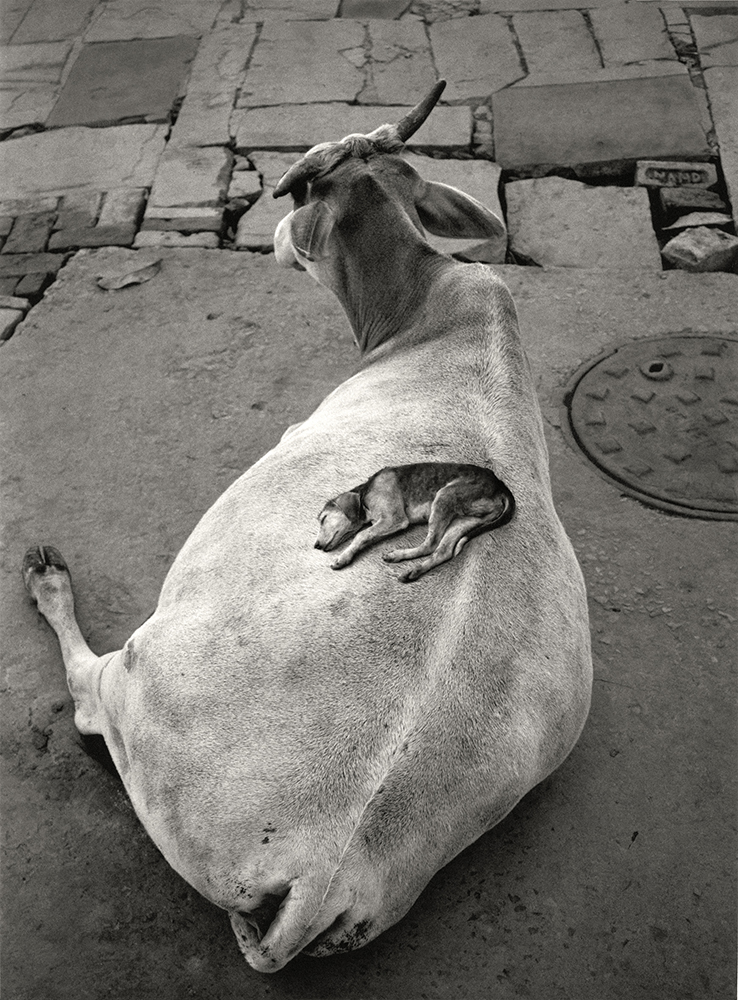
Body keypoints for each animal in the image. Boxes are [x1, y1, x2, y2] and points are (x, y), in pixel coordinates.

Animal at [314, 462, 516, 584]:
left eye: (323, 518)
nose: (316, 546)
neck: (364, 495)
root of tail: (500, 486)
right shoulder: (385, 523)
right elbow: (366, 536)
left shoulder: (394, 519)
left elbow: (361, 535)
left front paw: (342, 558)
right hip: (464, 519)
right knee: (442, 551)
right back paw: (410, 567)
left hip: (444, 496)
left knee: (431, 544)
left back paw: (403, 560)